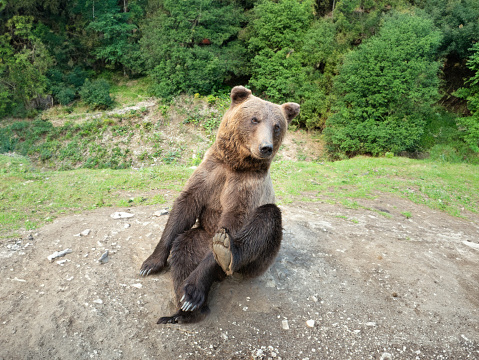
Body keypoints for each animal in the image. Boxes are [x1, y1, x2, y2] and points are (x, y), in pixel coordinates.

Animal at [139, 86, 300, 324]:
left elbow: (237, 218)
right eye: (254, 119)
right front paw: (150, 263)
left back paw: (218, 261)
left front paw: (195, 288)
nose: (266, 147)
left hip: (257, 262)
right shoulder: (210, 174)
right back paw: (184, 311)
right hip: (201, 237)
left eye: (277, 126)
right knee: (184, 248)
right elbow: (184, 207)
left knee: (267, 218)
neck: (235, 164)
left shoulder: (246, 187)